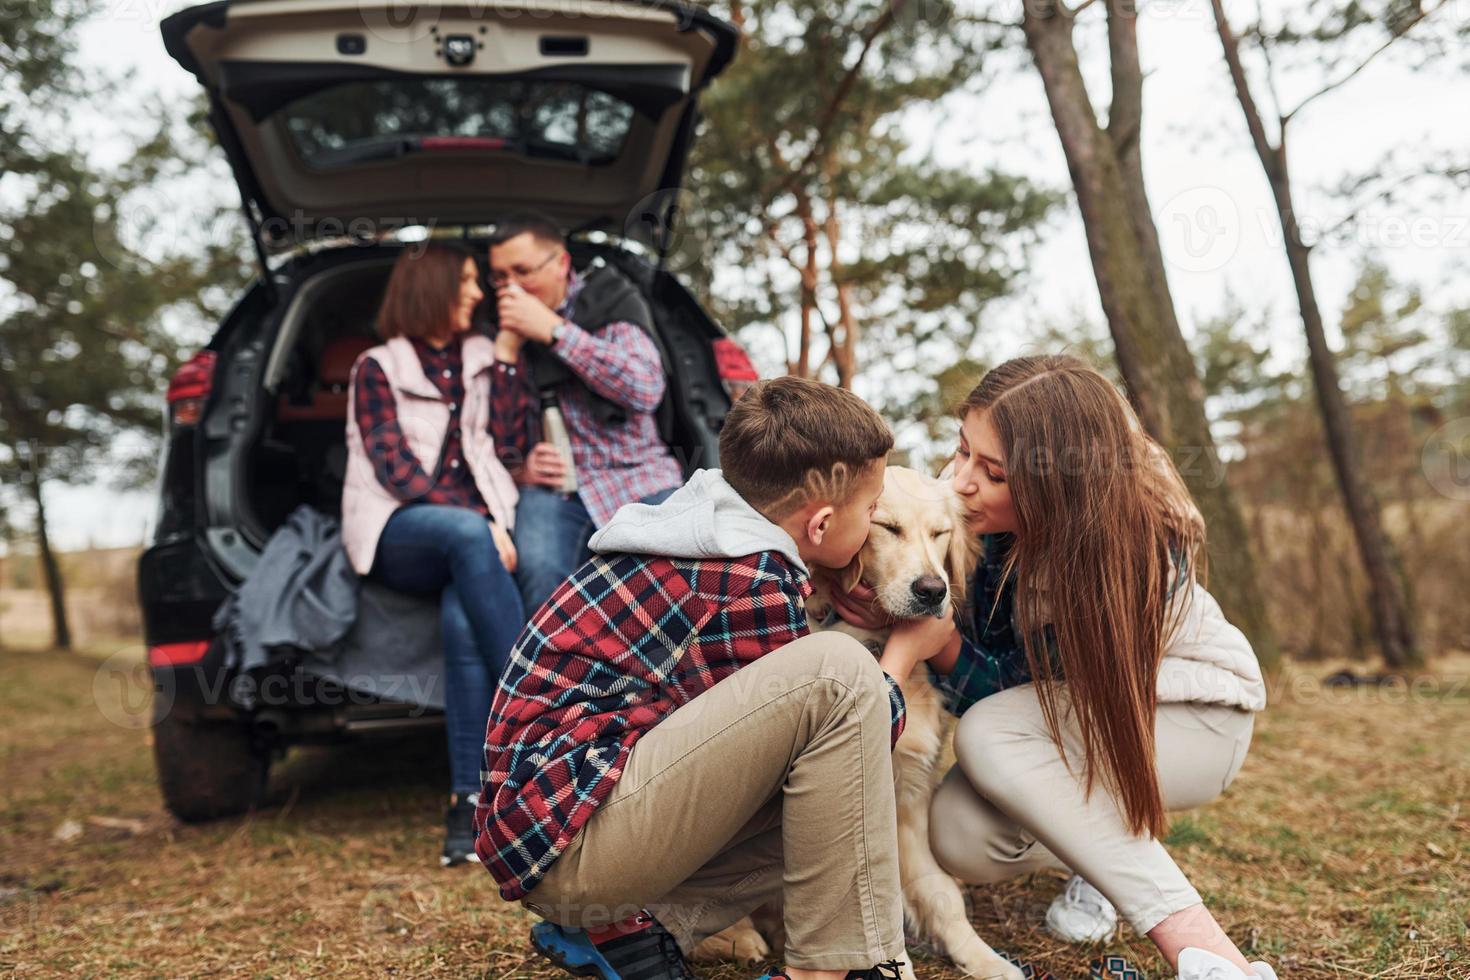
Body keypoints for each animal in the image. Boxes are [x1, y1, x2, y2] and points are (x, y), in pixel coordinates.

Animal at [690, 467, 1023, 980]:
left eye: (940, 533)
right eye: (885, 527)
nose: (933, 590)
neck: (878, 639)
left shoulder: (910, 797)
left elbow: (941, 894)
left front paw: (981, 957)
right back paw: (738, 940)